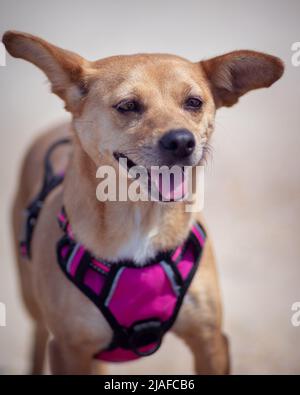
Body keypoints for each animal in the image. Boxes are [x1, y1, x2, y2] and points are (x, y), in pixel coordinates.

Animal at [2, 31, 284, 374]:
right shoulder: (68, 349)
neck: (141, 217)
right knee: (37, 338)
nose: (182, 141)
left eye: (194, 102)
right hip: (34, 306)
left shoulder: (211, 341)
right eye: (128, 106)